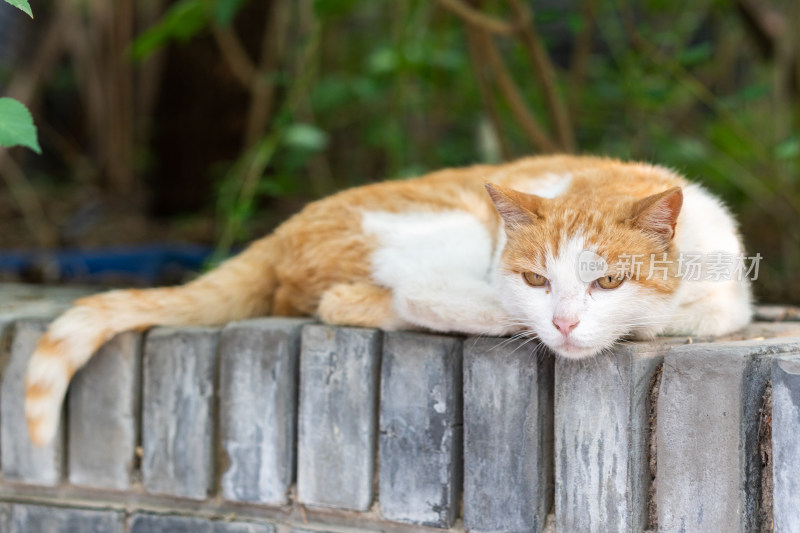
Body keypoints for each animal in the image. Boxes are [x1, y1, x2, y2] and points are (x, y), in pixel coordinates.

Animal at [23, 155, 752, 444]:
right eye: (537, 280)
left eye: (608, 282)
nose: (565, 322)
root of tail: (281, 230)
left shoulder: (729, 293)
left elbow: (707, 308)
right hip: (440, 226)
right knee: (374, 297)